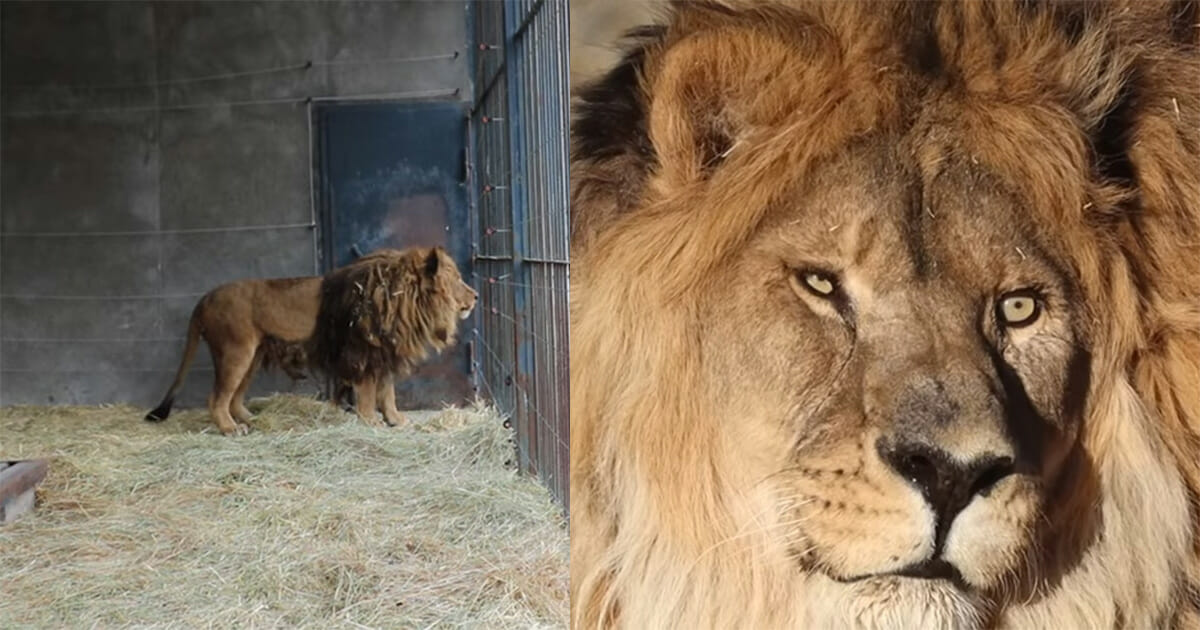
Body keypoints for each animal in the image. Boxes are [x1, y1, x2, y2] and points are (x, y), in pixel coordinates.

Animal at [144, 244, 472, 432]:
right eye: (457, 279)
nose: (477, 296)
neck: (402, 298)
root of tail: (205, 298)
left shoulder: (383, 354)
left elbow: (387, 392)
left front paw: (396, 420)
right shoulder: (362, 354)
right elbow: (368, 393)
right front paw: (371, 420)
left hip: (252, 356)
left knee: (234, 398)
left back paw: (251, 421)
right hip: (235, 352)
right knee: (216, 398)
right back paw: (230, 428)